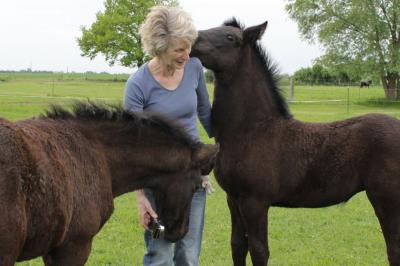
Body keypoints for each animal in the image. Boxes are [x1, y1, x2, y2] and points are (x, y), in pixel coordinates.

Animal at [191, 18, 400, 266]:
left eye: (230, 37)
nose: (190, 40)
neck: (251, 131)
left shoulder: (255, 202)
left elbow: (259, 250)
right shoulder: (233, 199)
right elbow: (237, 246)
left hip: (387, 200)